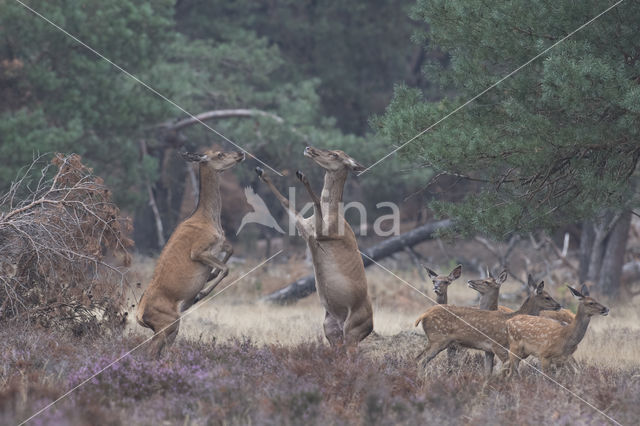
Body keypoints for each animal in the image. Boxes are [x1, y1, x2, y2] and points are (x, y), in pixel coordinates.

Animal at [136, 149, 245, 356]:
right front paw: (200, 293)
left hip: (170, 328)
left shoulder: (219, 244)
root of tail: (138, 315)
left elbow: (230, 251)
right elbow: (226, 268)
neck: (210, 218)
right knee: (150, 351)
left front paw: (210, 276)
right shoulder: (198, 251)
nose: (240, 154)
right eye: (219, 154)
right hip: (168, 322)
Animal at [256, 146, 376, 346]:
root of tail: (371, 327)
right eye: (333, 150)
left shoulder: (323, 233)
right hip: (331, 329)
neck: (333, 216)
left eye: (335, 155)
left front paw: (302, 176)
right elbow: (286, 202)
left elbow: (317, 202)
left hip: (352, 330)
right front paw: (261, 172)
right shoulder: (305, 228)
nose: (309, 148)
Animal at [416, 276, 560, 372]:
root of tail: (423, 315)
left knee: (418, 357)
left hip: (436, 340)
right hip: (438, 338)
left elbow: (488, 372)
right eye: (547, 297)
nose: (559, 305)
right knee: (421, 360)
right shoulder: (498, 346)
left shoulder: (489, 350)